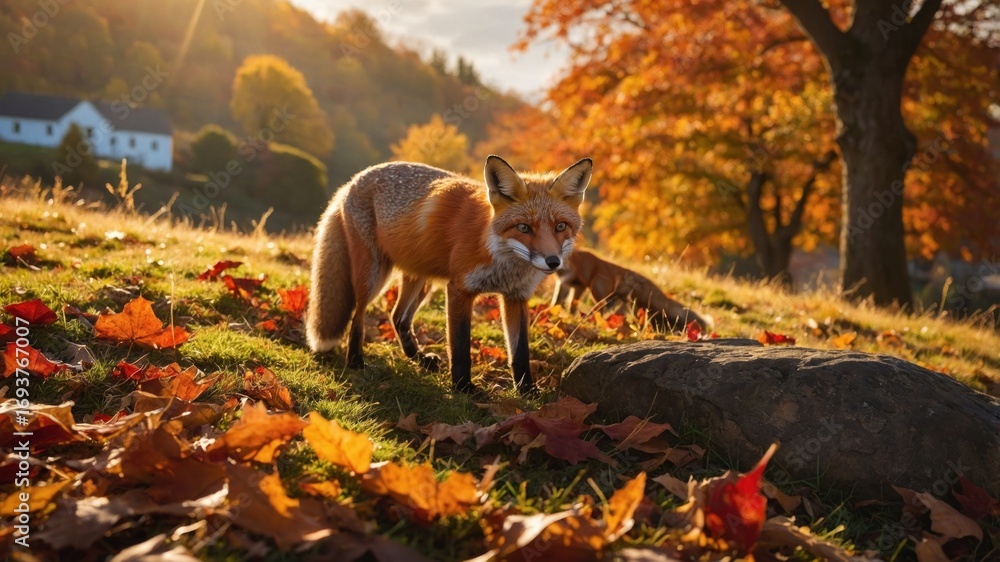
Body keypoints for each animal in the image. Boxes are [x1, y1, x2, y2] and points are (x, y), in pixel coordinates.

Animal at [306, 155, 592, 395]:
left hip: (422, 279)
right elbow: (460, 346)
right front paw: (463, 388)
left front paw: (527, 390)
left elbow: (520, 351)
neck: (498, 255)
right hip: (374, 274)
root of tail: (353, 180)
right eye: (523, 228)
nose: (553, 262)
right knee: (359, 314)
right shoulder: (459, 289)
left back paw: (418, 358)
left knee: (398, 317)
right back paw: (355, 360)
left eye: (560, 227)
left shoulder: (516, 297)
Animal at [552, 248, 711, 332]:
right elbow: (559, 302)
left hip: (597, 291)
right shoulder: (567, 284)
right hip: (618, 299)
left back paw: (595, 321)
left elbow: (568, 303)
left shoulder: (574, 282)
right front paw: (556, 312)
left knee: (603, 310)